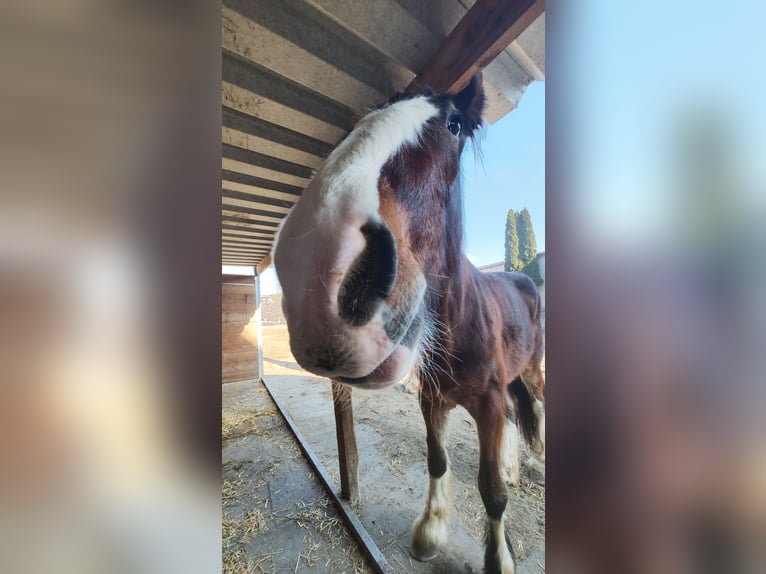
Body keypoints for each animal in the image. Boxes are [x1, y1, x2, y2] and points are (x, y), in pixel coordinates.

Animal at [273, 74, 545, 574]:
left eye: (455, 125)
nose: (312, 261)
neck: (458, 326)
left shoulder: (488, 404)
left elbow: (491, 492)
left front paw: (499, 557)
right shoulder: (432, 399)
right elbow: (437, 460)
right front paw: (430, 531)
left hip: (531, 371)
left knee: (534, 407)